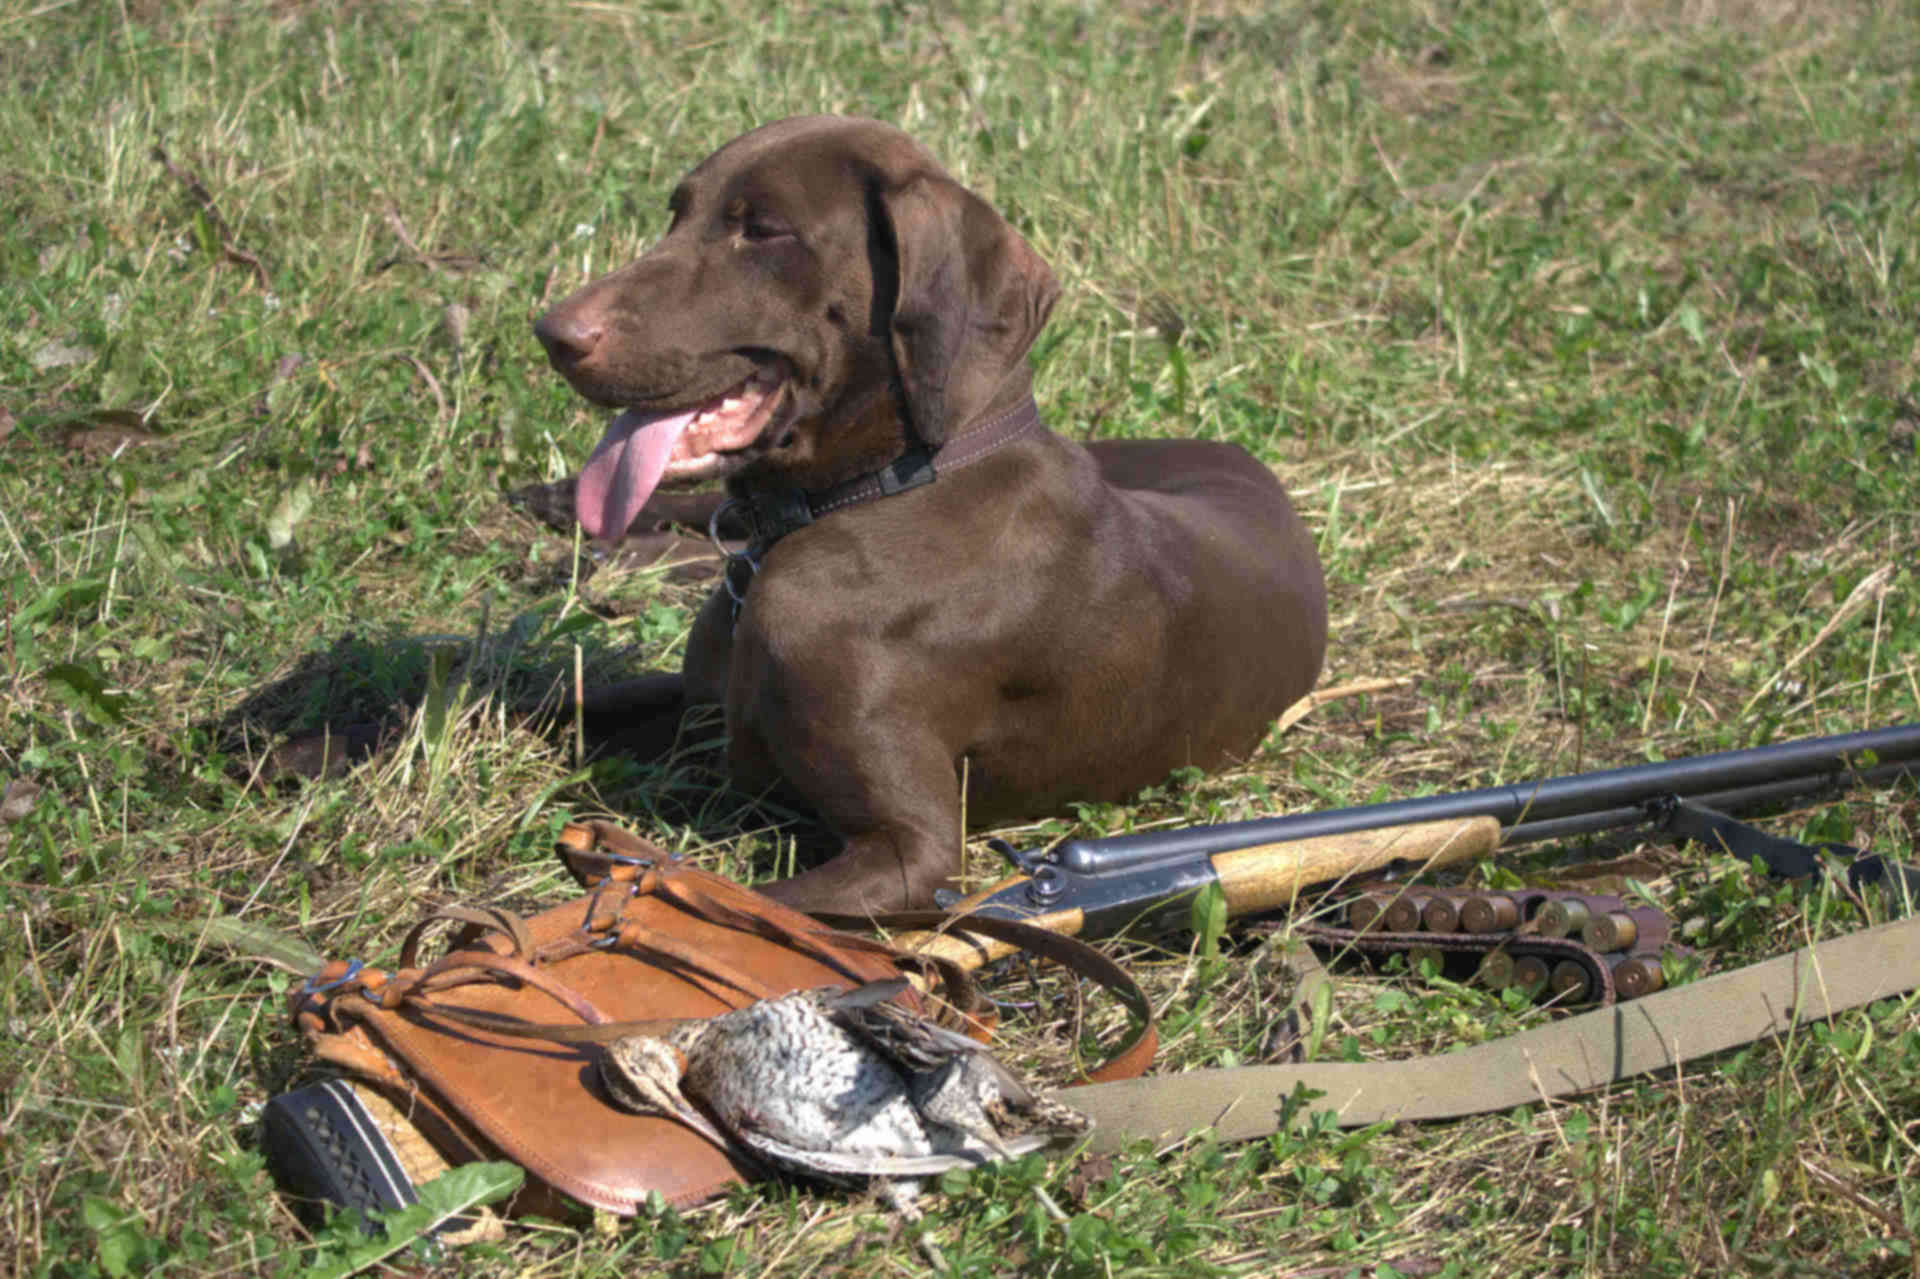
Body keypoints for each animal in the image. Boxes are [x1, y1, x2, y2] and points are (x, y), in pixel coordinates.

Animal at [533, 111, 1328, 906]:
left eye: (762, 230)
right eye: (677, 212)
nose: (551, 332)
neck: (882, 491)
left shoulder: (910, 850)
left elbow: (724, 903)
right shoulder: (696, 701)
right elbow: (559, 699)